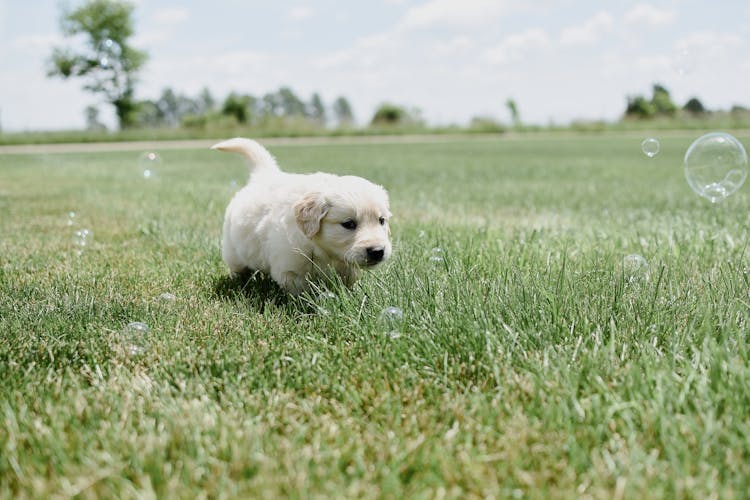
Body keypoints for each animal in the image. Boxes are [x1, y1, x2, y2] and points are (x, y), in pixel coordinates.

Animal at [212, 137, 394, 294]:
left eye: (381, 221)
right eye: (349, 224)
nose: (378, 251)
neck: (322, 250)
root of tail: (264, 175)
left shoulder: (346, 266)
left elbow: (348, 279)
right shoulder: (290, 269)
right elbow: (302, 291)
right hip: (233, 250)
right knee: (237, 267)